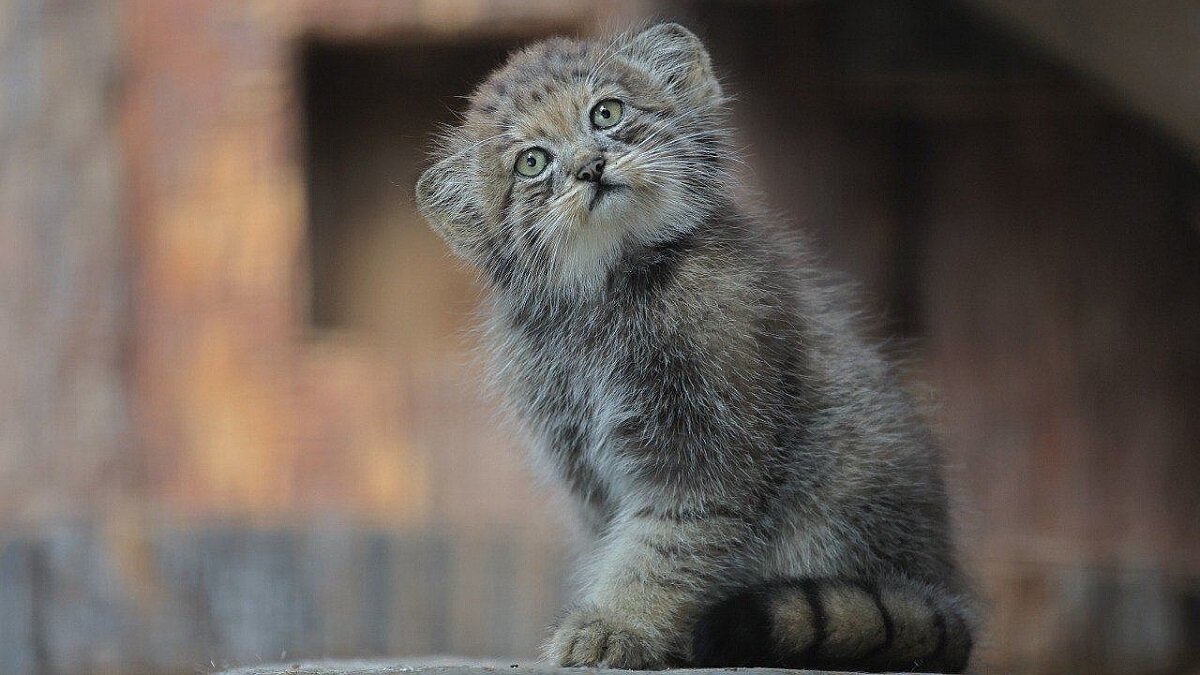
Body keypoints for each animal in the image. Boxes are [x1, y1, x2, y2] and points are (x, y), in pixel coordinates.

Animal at [417, 22, 969, 672]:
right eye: (532, 162)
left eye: (606, 112)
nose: (590, 166)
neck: (608, 293)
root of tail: (944, 591)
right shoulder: (579, 461)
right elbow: (622, 541)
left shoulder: (708, 445)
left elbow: (663, 547)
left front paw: (618, 624)